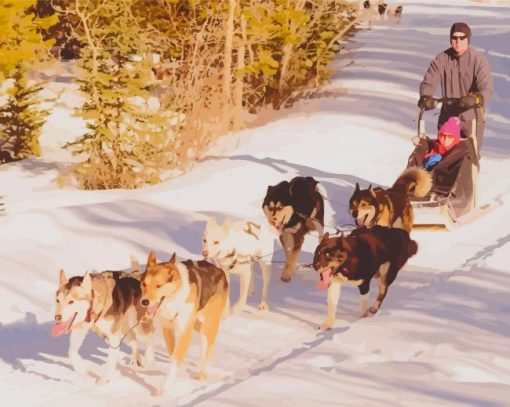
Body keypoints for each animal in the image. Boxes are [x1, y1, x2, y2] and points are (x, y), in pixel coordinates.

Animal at [139, 252, 227, 396]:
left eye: (158, 285)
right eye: (144, 284)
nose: (144, 302)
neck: (174, 298)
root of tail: (219, 270)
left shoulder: (184, 331)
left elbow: (176, 357)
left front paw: (165, 388)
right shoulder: (168, 329)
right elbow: (173, 354)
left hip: (210, 323)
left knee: (209, 347)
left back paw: (203, 372)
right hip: (198, 325)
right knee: (204, 345)